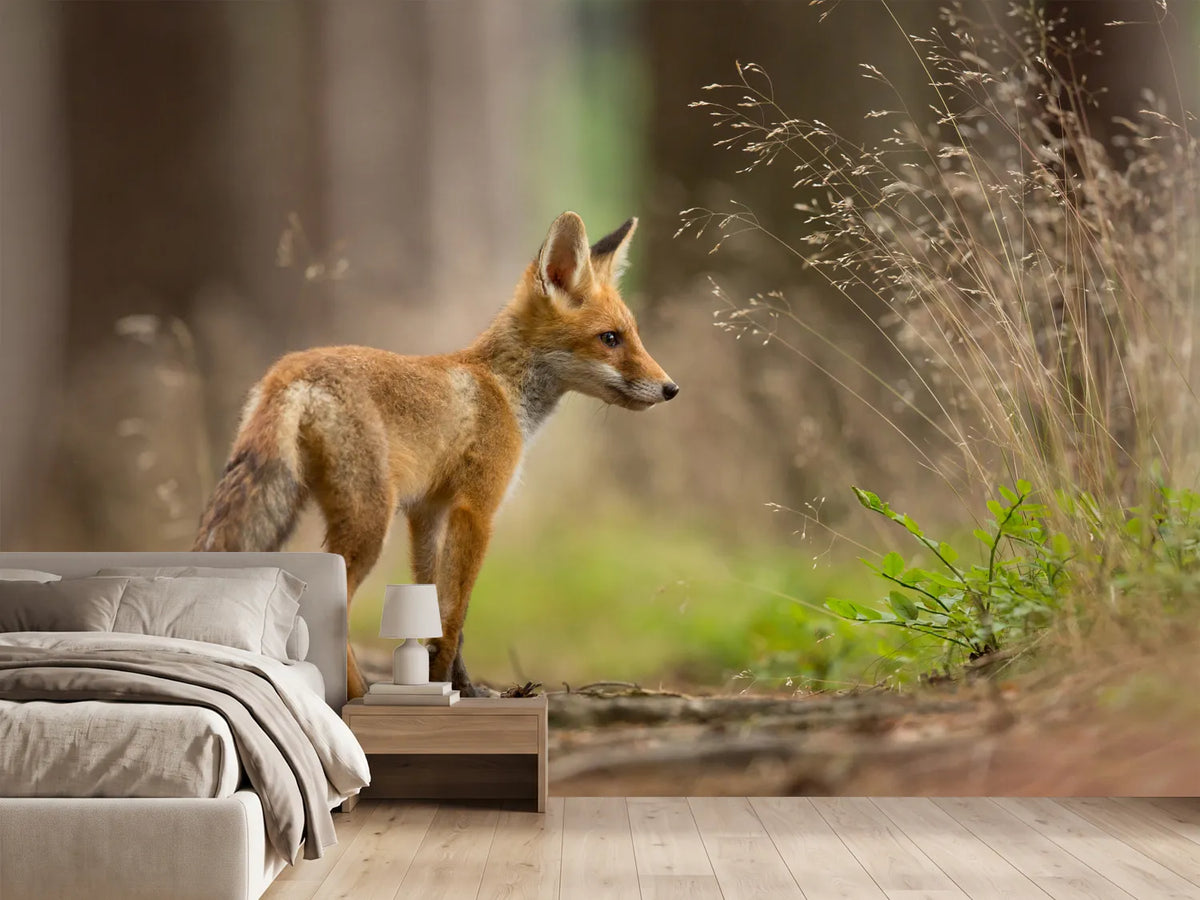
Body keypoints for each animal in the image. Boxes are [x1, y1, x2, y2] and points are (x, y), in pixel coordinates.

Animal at [194, 211, 677, 698]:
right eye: (610, 339)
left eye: (633, 336)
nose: (671, 388)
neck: (502, 388)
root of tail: (289, 370)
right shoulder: (476, 509)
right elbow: (455, 613)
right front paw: (449, 685)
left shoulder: (427, 512)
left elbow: (434, 608)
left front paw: (455, 684)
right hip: (369, 523)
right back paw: (355, 696)